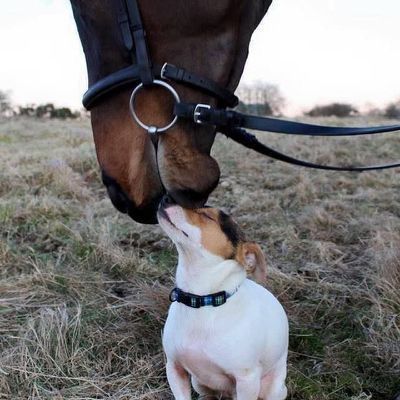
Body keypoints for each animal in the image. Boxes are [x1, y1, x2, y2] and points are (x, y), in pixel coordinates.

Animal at [158, 198, 290, 400]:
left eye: (207, 216)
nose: (165, 197)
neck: (202, 300)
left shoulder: (247, 379)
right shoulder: (174, 367)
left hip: (273, 389)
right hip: (198, 383)